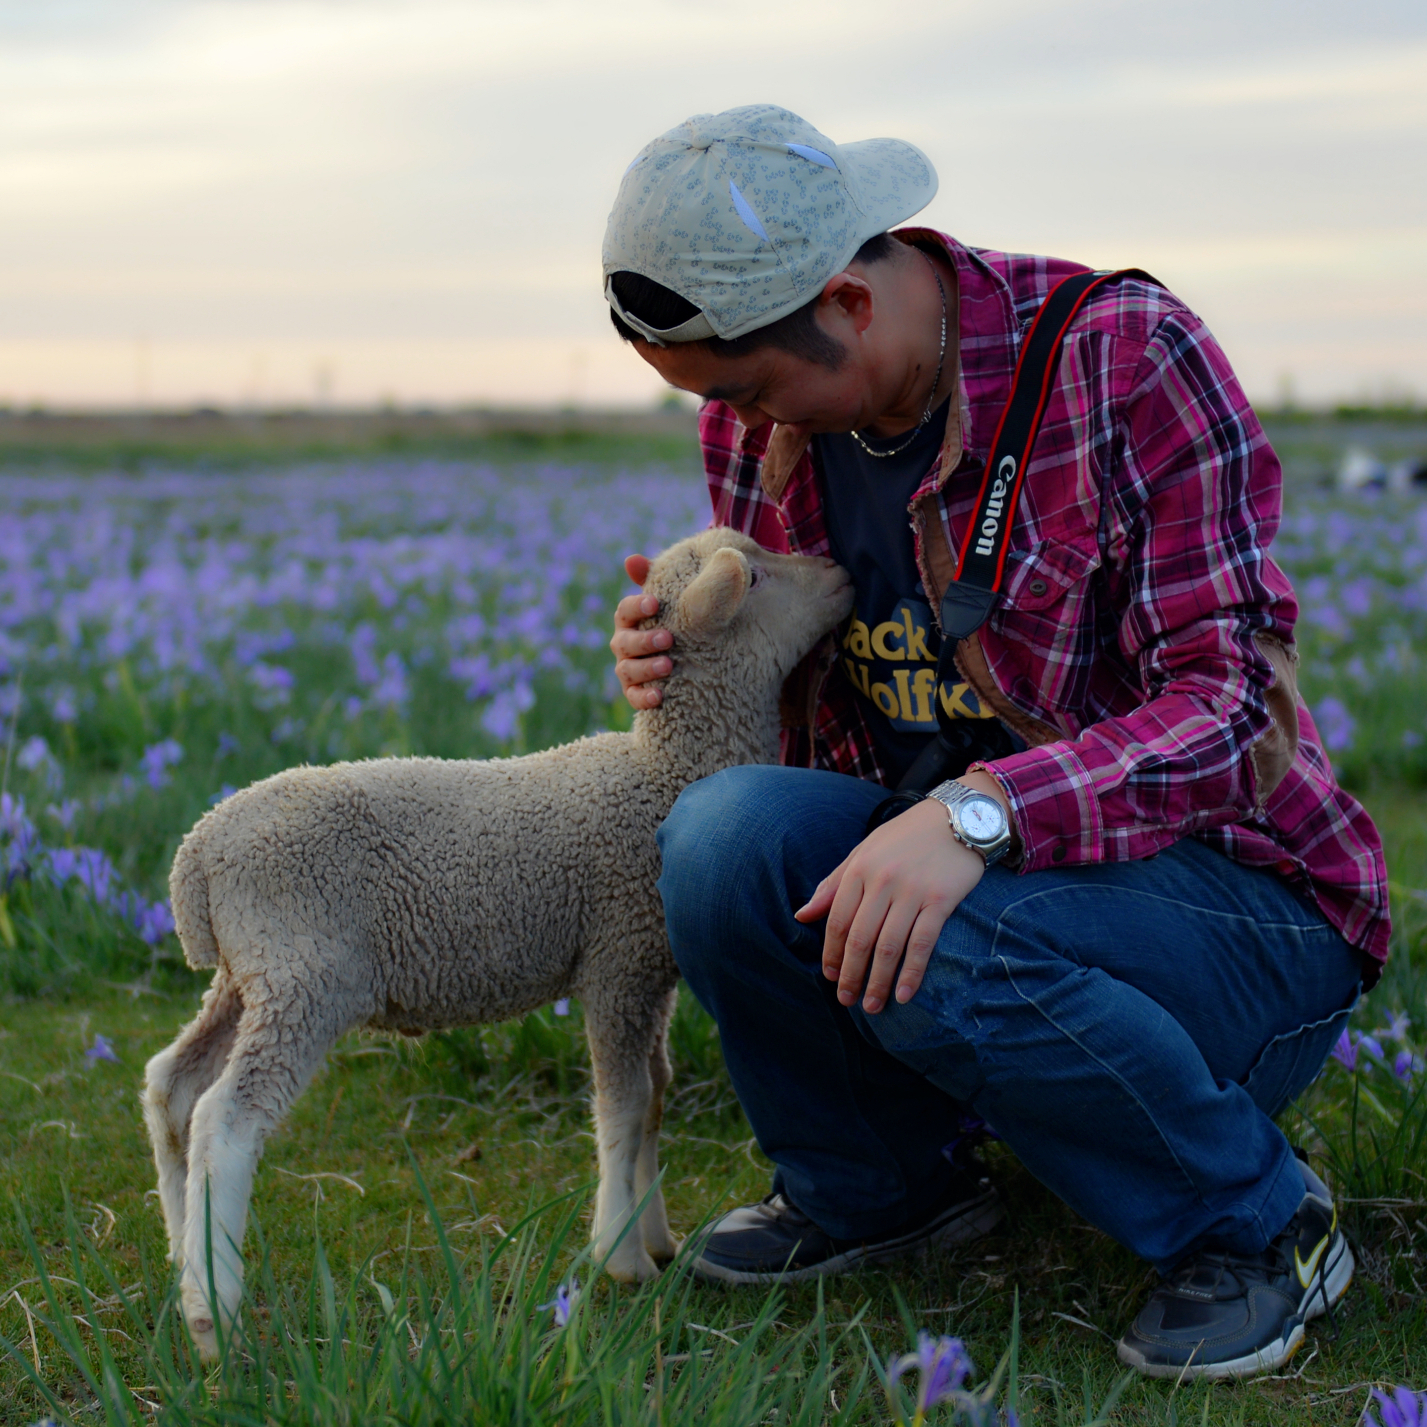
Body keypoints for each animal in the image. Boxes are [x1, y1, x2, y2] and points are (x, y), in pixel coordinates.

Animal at [139, 530, 850, 1352]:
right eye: (757, 577)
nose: (838, 571)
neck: (665, 771)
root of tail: (197, 856)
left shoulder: (648, 969)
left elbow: (656, 1094)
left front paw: (658, 1238)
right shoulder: (615, 959)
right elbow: (625, 1104)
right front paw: (620, 1257)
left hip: (248, 973)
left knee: (173, 1086)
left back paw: (181, 1257)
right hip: (305, 977)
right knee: (225, 1118)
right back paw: (213, 1310)